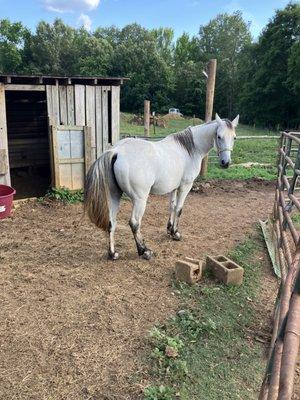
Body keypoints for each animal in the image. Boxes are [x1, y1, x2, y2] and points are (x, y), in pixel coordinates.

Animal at [85, 112, 239, 260]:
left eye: (234, 137)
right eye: (219, 136)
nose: (226, 163)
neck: (190, 150)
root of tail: (117, 151)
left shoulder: (174, 187)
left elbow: (172, 206)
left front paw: (169, 229)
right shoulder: (185, 186)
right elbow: (179, 209)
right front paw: (176, 233)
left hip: (114, 195)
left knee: (111, 222)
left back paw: (113, 253)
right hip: (140, 200)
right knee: (134, 223)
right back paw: (144, 251)